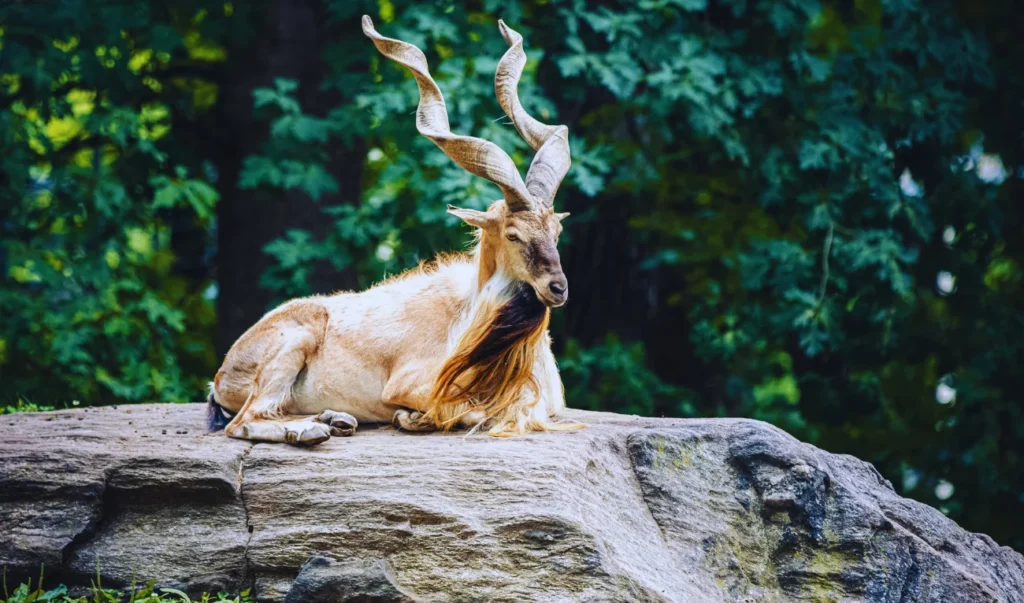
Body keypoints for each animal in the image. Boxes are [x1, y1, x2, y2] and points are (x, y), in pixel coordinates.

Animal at [205, 16, 585, 444]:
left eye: (556, 231)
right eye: (513, 234)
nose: (557, 287)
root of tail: (222, 374)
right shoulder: (414, 384)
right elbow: (469, 412)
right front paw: (412, 418)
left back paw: (335, 419)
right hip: (293, 343)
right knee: (244, 420)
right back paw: (310, 431)